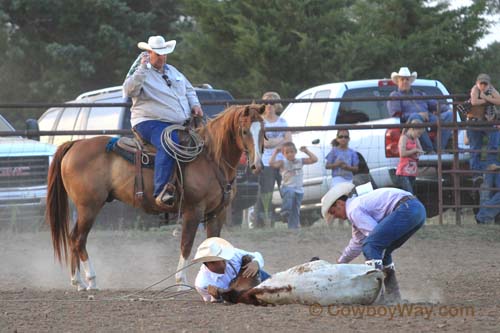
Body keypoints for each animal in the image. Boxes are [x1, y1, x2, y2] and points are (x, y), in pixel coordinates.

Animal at [46, 104, 266, 290]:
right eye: (245, 131)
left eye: (263, 131)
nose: (257, 165)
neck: (211, 159)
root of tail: (75, 144)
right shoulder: (193, 210)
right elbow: (186, 244)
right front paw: (181, 283)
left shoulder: (217, 213)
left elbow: (215, 244)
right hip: (89, 206)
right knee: (79, 239)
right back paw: (91, 280)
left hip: (85, 208)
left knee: (73, 237)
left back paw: (78, 282)